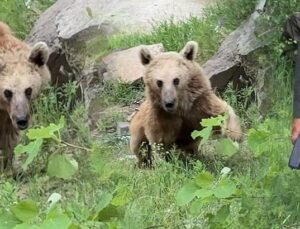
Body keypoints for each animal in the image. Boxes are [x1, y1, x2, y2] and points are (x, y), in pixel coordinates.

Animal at [0, 21, 50, 172]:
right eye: (7, 92)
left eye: (28, 90)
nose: (22, 120)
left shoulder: (7, 117)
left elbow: (9, 140)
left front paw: (9, 168)